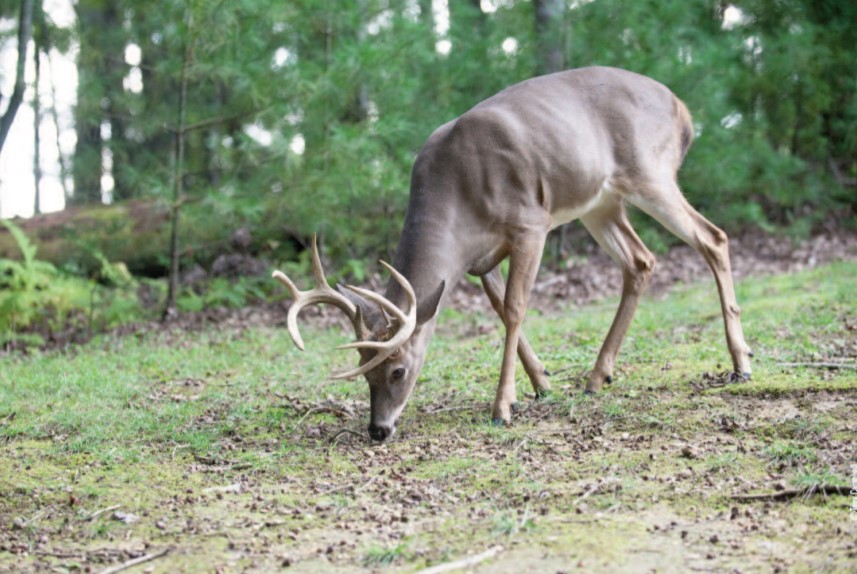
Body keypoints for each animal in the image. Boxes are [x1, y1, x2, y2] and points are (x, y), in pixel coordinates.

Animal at [272, 68, 748, 446]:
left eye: (398, 371)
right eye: (363, 370)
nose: (378, 430)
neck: (456, 195)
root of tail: (683, 110)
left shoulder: (530, 224)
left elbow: (516, 308)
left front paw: (503, 406)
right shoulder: (479, 258)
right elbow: (501, 309)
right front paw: (542, 383)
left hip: (649, 172)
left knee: (713, 237)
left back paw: (740, 363)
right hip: (600, 203)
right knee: (641, 261)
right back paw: (598, 376)